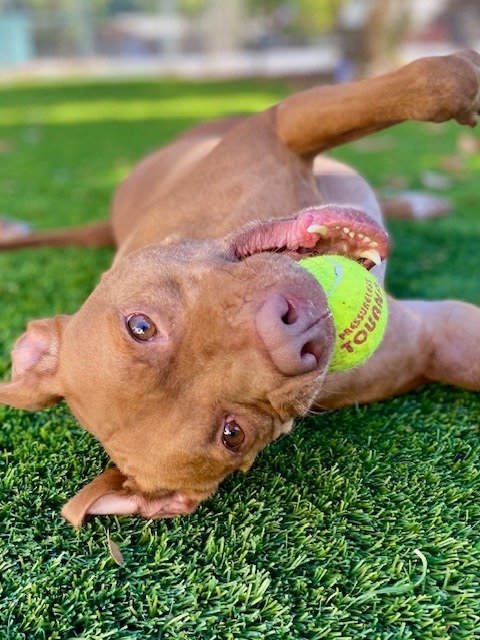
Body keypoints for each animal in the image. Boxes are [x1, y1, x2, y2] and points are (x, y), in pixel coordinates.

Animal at [0, 52, 480, 528]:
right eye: (233, 434)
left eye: (140, 326)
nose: (291, 333)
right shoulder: (438, 336)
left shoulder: (277, 124)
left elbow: (436, 80)